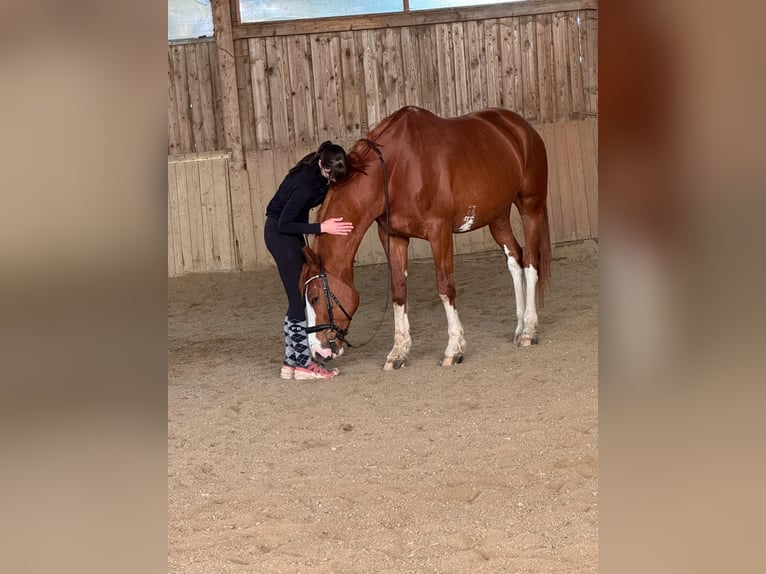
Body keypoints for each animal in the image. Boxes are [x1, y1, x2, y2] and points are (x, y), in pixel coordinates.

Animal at [299, 106, 551, 370]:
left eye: (314, 297)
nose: (318, 352)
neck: (395, 170)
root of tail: (522, 128)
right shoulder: (393, 236)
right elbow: (398, 290)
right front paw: (398, 352)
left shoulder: (439, 232)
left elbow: (445, 286)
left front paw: (454, 348)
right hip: (498, 218)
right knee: (515, 260)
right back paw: (519, 327)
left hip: (530, 209)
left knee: (530, 262)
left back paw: (529, 331)